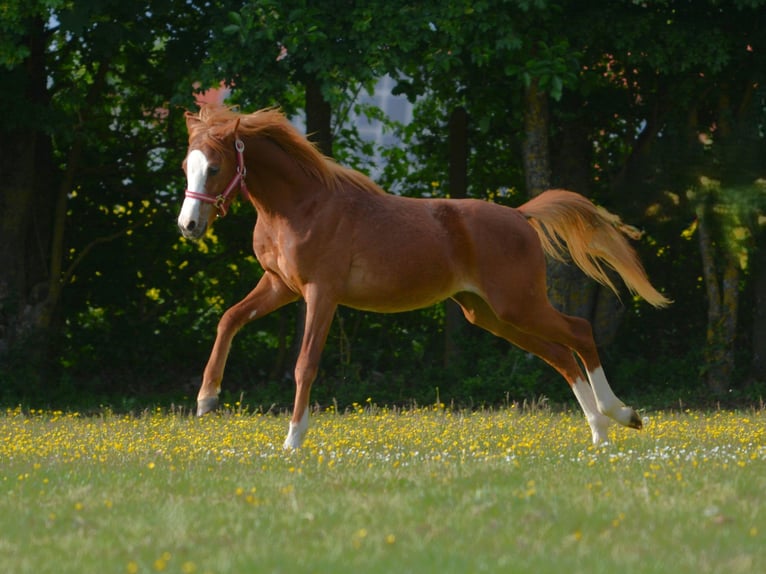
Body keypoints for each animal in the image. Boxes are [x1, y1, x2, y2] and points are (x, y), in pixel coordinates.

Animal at [177, 104, 670, 449]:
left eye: (214, 167)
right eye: (186, 166)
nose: (189, 225)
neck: (302, 206)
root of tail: (520, 215)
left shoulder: (322, 293)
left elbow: (305, 363)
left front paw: (293, 440)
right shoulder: (280, 286)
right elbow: (228, 319)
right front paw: (206, 399)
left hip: (518, 304)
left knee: (579, 332)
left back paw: (622, 415)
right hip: (489, 315)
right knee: (561, 355)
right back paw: (600, 433)